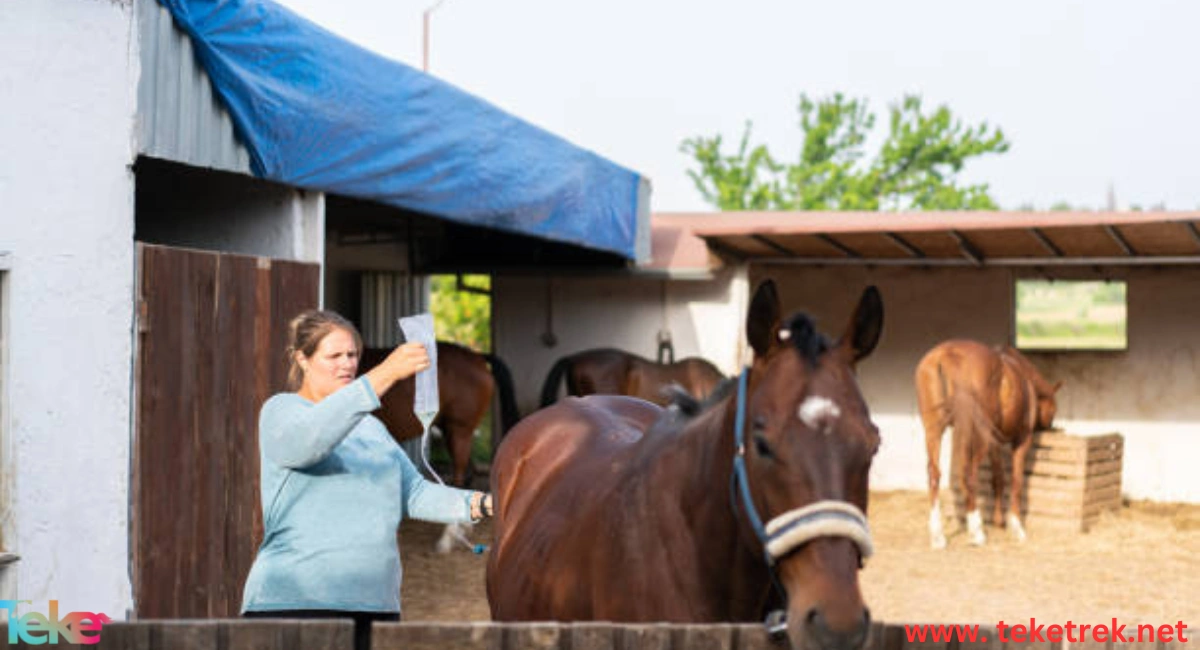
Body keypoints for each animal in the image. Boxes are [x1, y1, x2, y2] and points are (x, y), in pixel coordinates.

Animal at [916, 340, 1060, 551]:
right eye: (1054, 408)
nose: (1049, 426)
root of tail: (947, 354)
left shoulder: (994, 443)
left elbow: (998, 478)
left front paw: (999, 520)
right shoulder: (1022, 440)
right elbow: (1016, 480)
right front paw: (1016, 526)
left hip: (934, 430)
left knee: (934, 474)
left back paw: (938, 536)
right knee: (968, 473)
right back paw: (976, 532)